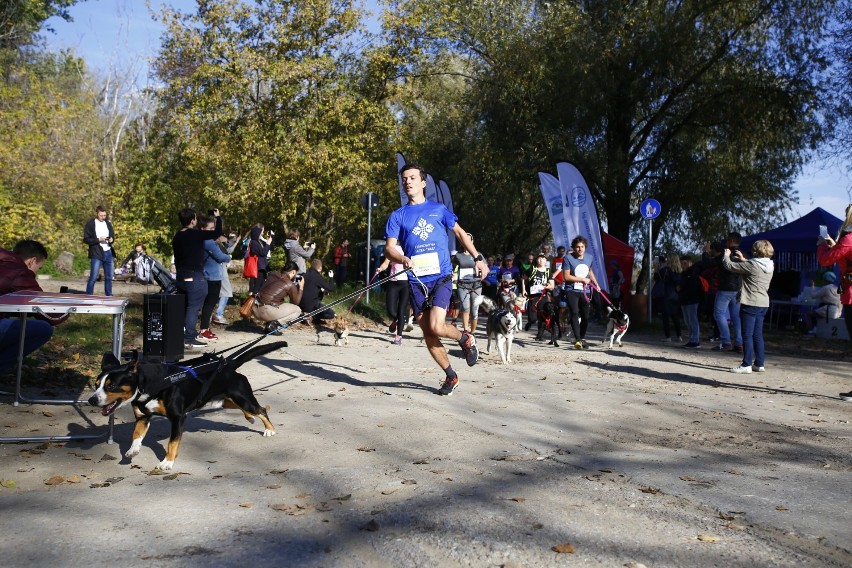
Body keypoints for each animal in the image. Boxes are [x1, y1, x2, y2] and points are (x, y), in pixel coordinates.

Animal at [89, 342, 284, 470]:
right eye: (96, 384)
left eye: (111, 386)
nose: (92, 400)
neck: (154, 384)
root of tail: (228, 365)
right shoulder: (142, 417)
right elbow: (136, 435)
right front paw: (132, 450)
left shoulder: (178, 418)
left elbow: (172, 442)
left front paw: (168, 461)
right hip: (224, 401)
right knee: (245, 408)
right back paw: (249, 418)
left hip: (242, 398)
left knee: (261, 409)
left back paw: (269, 429)